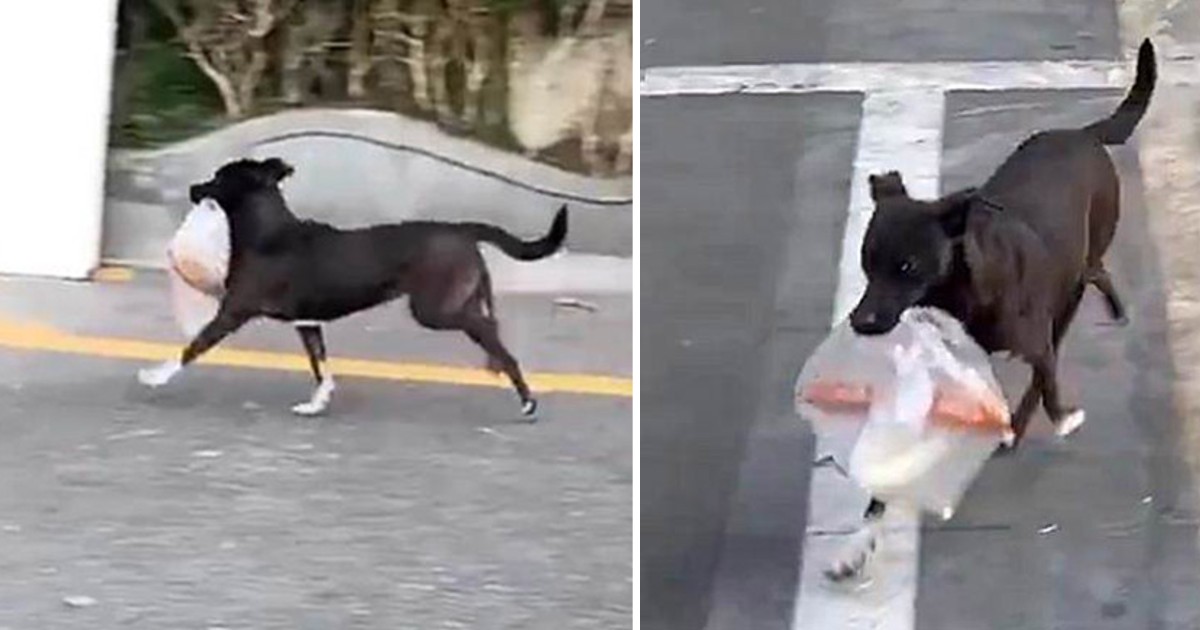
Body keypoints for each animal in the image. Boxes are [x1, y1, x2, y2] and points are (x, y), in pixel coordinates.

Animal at [138, 154, 568, 417]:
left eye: (218, 177)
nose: (193, 189)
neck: (269, 234)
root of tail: (463, 230)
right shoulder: (307, 323)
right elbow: (320, 366)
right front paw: (317, 404)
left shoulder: (233, 311)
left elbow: (193, 347)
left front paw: (156, 376)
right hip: (461, 296)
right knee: (491, 323)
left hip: (434, 309)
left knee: (493, 337)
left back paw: (525, 398)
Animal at [825, 40, 1152, 580]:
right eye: (866, 262)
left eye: (907, 266)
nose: (861, 322)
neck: (956, 295)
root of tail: (1083, 135)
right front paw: (856, 543)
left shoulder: (1036, 338)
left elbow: (1046, 378)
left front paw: (1058, 417)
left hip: (1078, 272)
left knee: (1089, 285)